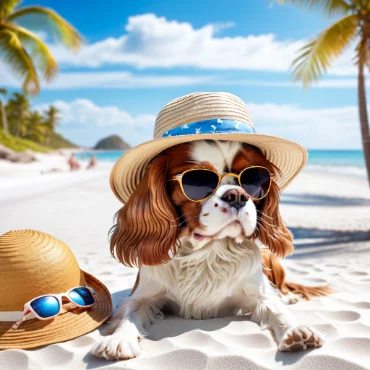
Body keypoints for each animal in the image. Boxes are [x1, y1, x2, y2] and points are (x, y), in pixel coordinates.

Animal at [91, 140, 330, 360]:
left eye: (253, 179)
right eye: (198, 180)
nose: (237, 195)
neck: (208, 252)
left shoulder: (260, 296)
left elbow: (277, 308)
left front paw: (295, 332)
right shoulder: (141, 297)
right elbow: (128, 316)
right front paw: (119, 340)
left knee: (282, 288)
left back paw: (289, 296)